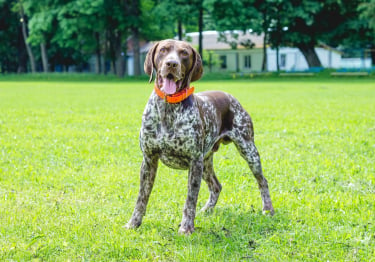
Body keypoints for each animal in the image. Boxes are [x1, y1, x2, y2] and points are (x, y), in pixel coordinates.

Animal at [125, 40, 274, 234]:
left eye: (184, 53)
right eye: (164, 50)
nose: (171, 64)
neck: (168, 108)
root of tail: (230, 96)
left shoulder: (194, 162)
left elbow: (190, 199)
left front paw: (186, 227)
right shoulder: (149, 160)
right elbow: (141, 198)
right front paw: (134, 223)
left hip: (248, 151)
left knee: (262, 181)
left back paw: (268, 209)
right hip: (206, 162)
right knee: (216, 186)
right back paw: (207, 210)